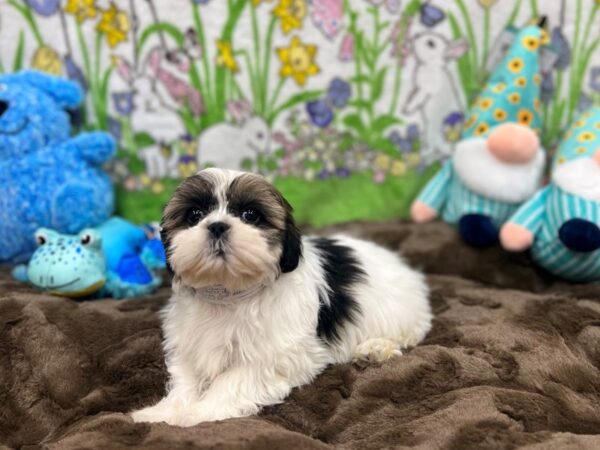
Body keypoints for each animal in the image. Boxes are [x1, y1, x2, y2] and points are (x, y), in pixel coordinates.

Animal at [130, 168, 432, 426]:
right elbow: (186, 378)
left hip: (399, 313)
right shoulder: (189, 342)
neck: (228, 293)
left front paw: (201, 412)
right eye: (194, 214)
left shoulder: (274, 354)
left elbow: (233, 379)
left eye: (250, 215)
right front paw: (164, 412)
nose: (216, 225)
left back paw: (375, 349)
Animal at [404, 32, 468, 165]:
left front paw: (407, 109)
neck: (432, 65)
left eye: (431, 43)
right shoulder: (418, 87)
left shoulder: (425, 90)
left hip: (430, 134)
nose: (415, 36)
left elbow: (419, 98)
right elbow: (414, 94)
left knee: (434, 150)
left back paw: (424, 155)